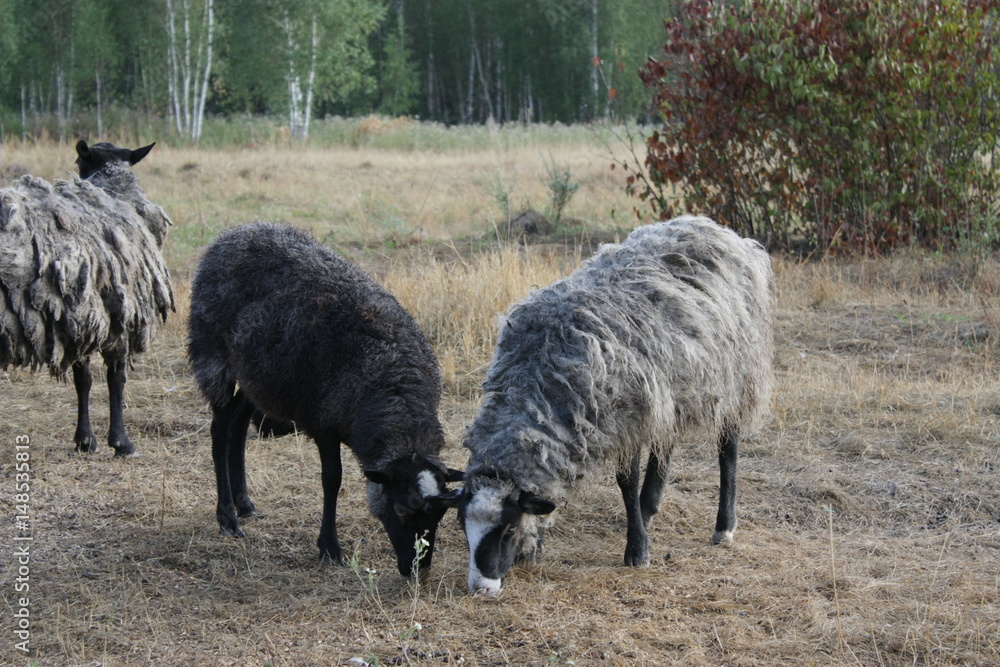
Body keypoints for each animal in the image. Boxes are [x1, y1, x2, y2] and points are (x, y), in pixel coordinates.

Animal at [0, 140, 174, 457]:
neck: (114, 194)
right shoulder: (116, 315)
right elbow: (116, 377)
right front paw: (120, 442)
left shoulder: (79, 317)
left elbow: (83, 380)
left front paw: (84, 440)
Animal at [187, 221, 462, 576]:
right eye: (401, 510)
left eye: (439, 515)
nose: (417, 570)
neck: (394, 382)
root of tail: (236, 232)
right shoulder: (323, 423)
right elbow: (332, 479)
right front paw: (329, 547)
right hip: (214, 354)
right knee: (220, 429)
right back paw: (228, 518)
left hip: (259, 374)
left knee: (237, 425)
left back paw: (245, 504)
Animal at [444, 216, 773, 596]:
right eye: (461, 523)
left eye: (509, 527)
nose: (481, 587)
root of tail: (711, 226)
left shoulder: (622, 417)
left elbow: (625, 481)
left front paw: (638, 552)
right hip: (667, 388)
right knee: (666, 438)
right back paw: (649, 506)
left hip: (735, 375)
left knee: (727, 446)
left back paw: (723, 526)